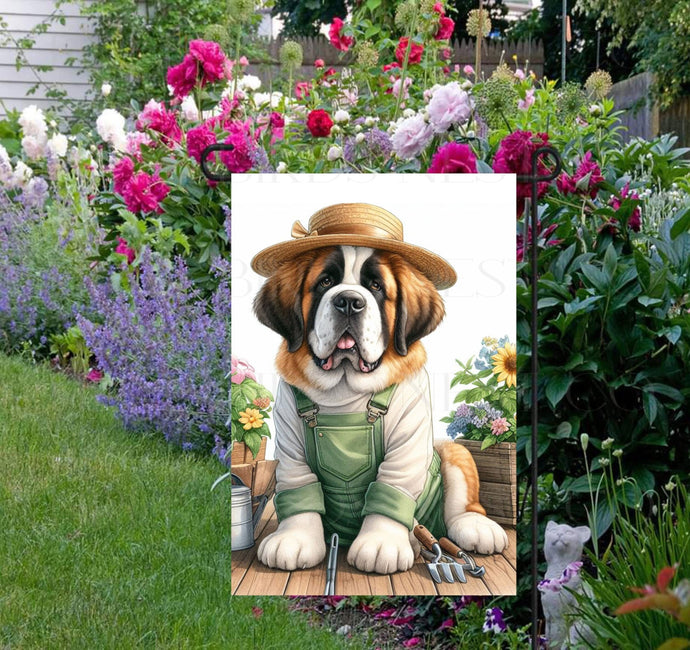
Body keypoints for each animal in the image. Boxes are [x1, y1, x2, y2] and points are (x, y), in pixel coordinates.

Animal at [250, 204, 508, 572]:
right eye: (325, 282)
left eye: (375, 287)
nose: (348, 301)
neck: (344, 392)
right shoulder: (289, 442)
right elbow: (299, 488)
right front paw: (294, 539)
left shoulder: (409, 435)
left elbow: (391, 485)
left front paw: (381, 544)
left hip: (453, 452)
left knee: (461, 499)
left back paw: (477, 528)